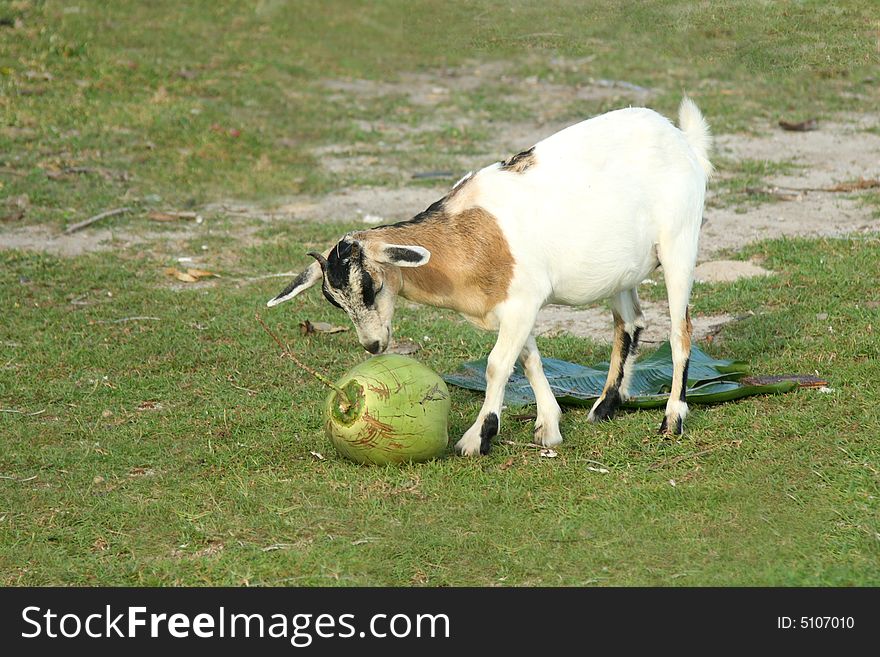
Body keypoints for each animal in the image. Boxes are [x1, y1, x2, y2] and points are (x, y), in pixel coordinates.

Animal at [270, 97, 716, 456]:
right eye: (333, 300)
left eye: (371, 286)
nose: (374, 345)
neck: (469, 236)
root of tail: (683, 140)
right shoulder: (515, 308)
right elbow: (529, 359)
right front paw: (549, 426)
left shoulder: (523, 300)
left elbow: (498, 365)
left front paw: (478, 437)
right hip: (620, 271)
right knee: (630, 323)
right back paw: (605, 406)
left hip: (678, 245)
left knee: (680, 330)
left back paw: (672, 419)